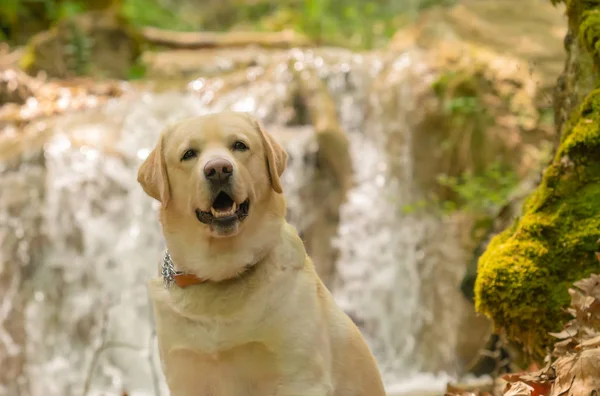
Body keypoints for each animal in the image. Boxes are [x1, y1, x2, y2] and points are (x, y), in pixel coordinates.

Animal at [138, 111, 386, 396]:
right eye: (189, 154)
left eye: (239, 145)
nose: (218, 169)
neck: (221, 274)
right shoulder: (186, 377)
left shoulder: (301, 377)